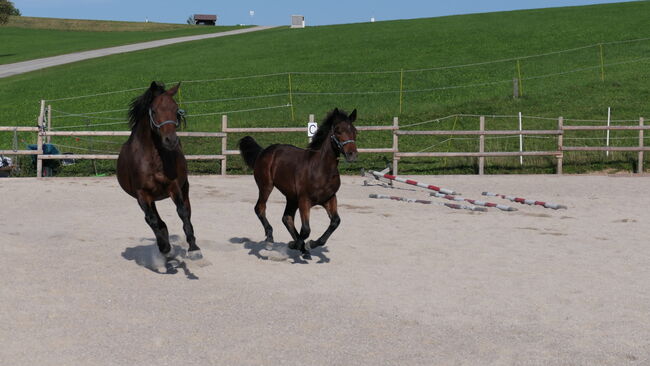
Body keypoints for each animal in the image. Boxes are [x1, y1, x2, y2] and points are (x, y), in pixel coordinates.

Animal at [116, 81, 201, 268]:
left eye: (176, 109)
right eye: (154, 111)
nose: (171, 140)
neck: (153, 159)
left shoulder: (173, 186)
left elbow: (182, 212)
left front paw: (194, 249)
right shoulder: (142, 194)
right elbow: (153, 221)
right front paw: (165, 249)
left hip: (184, 188)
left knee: (187, 212)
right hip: (150, 199)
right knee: (154, 221)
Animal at [238, 107, 356, 258]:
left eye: (354, 131)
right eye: (338, 131)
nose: (352, 154)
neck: (321, 169)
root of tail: (263, 151)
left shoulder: (329, 198)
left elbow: (335, 222)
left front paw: (309, 244)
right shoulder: (304, 200)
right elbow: (306, 230)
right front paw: (296, 244)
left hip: (291, 196)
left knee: (286, 218)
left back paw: (301, 249)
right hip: (266, 186)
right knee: (260, 208)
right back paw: (270, 239)